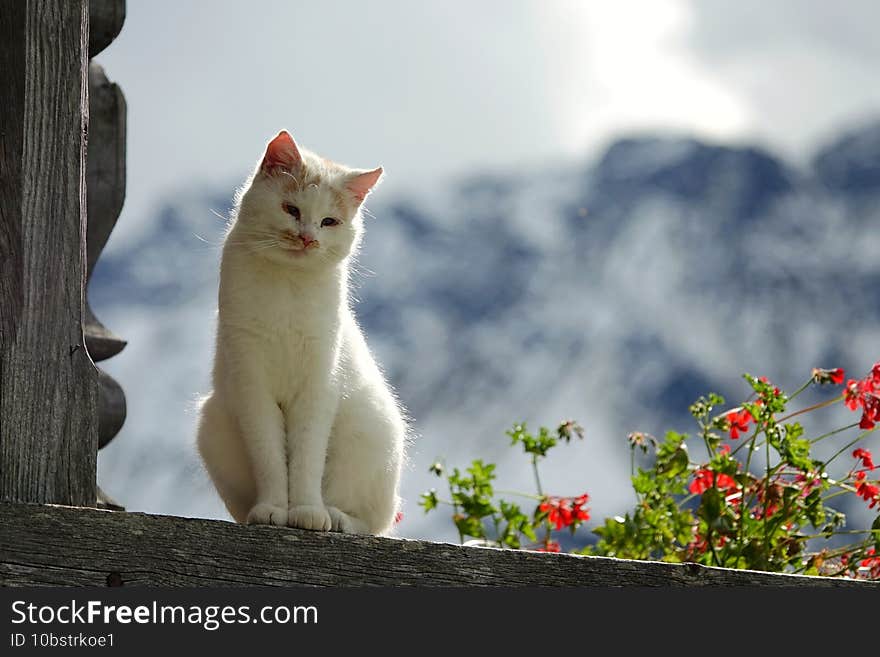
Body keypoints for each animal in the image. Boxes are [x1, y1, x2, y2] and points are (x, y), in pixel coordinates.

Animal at [196, 131, 406, 536]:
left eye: (329, 221)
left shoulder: (318, 386)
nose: (307, 238)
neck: (288, 284)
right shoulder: (251, 384)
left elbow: (307, 458)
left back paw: (337, 518)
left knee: (371, 522)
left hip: (371, 433)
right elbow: (270, 457)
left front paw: (308, 512)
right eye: (291, 210)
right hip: (212, 426)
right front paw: (274, 509)